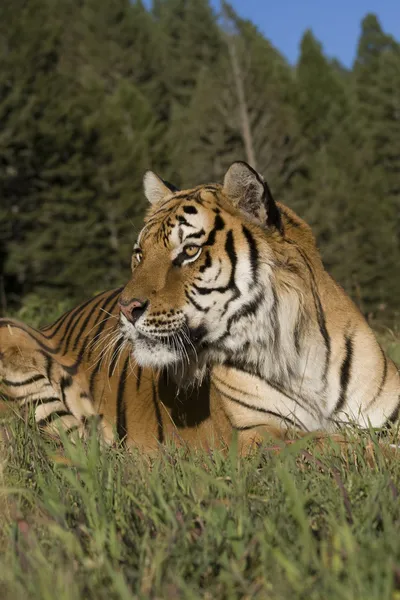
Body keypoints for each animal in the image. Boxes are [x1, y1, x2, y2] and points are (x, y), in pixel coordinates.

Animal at [0, 162, 398, 452]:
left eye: (189, 251)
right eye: (140, 254)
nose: (126, 309)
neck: (300, 353)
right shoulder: (258, 434)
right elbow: (341, 446)